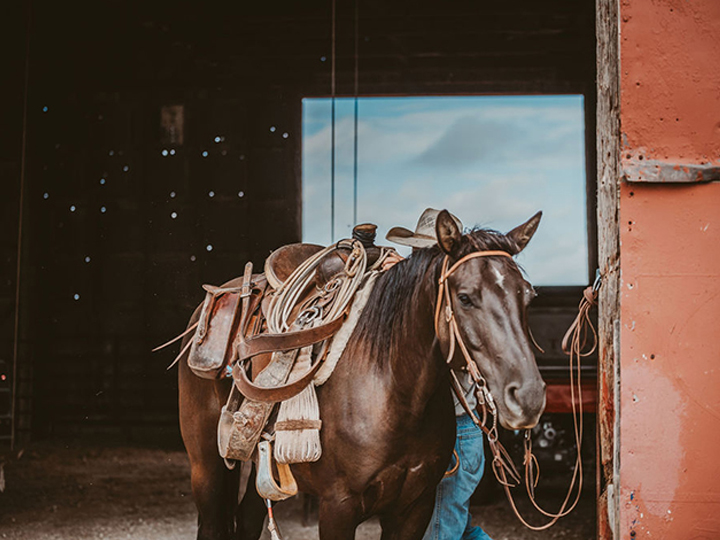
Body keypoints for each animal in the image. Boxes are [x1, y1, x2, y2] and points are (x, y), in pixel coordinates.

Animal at [179, 210, 544, 540]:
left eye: (528, 295)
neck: (393, 391)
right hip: (206, 466)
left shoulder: (415, 507)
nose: (528, 397)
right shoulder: (338, 506)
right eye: (466, 298)